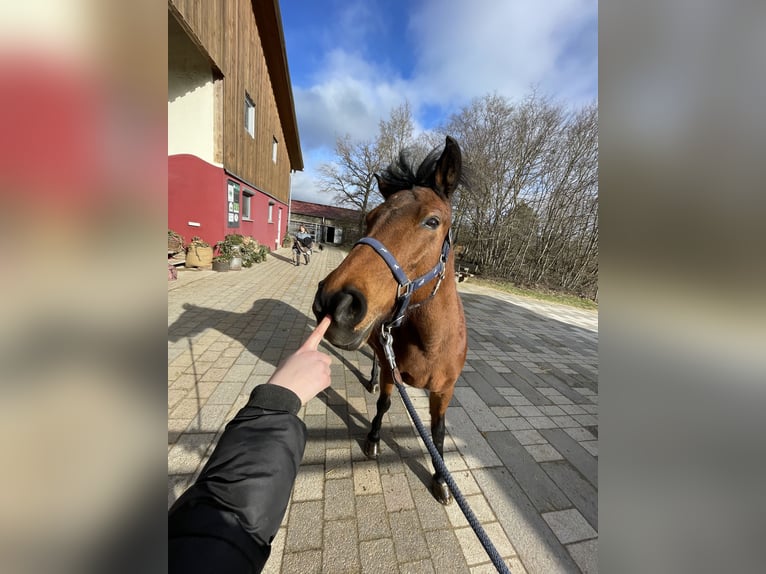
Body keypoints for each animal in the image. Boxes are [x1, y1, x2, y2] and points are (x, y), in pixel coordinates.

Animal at [312, 137, 468, 506]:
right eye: (370, 218)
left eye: (432, 221)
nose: (335, 301)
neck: (431, 342)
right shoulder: (390, 370)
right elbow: (383, 401)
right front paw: (372, 439)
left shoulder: (444, 390)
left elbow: (438, 432)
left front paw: (441, 480)